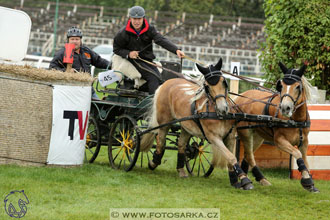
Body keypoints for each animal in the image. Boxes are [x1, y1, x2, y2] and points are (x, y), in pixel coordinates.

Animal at [141, 57, 254, 190]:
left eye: (223, 82)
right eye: (207, 86)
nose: (223, 108)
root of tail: (166, 83)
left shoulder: (230, 137)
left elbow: (231, 158)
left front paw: (235, 180)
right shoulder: (214, 137)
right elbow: (231, 157)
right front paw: (245, 180)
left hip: (186, 126)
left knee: (181, 144)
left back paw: (181, 170)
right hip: (164, 122)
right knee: (160, 141)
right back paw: (154, 162)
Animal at [235, 62, 320, 192]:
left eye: (297, 87)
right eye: (282, 86)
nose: (285, 108)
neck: (296, 120)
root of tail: (241, 96)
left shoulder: (304, 142)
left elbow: (305, 160)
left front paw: (310, 183)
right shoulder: (280, 141)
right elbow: (297, 153)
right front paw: (307, 179)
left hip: (258, 136)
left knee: (247, 155)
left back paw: (259, 179)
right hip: (245, 132)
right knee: (249, 155)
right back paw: (251, 180)